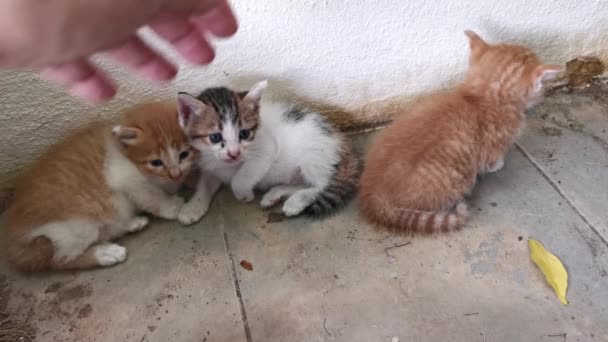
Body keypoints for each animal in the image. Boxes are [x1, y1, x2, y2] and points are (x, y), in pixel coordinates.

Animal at [4, 101, 195, 272]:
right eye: (156, 162)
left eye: (184, 154)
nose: (176, 174)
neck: (123, 153)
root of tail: (14, 244)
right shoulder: (126, 178)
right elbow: (151, 195)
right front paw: (172, 206)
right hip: (74, 227)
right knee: (60, 260)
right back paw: (105, 253)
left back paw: (131, 223)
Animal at [175, 80, 360, 224]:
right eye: (215, 137)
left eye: (244, 133)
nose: (234, 153)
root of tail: (342, 142)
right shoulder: (211, 166)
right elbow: (204, 185)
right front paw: (192, 208)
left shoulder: (266, 148)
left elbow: (240, 178)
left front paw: (243, 194)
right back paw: (275, 194)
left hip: (314, 152)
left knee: (322, 184)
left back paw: (296, 202)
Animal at [358, 30, 564, 234]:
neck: (481, 97)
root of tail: (373, 194)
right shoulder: (493, 146)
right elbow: (491, 161)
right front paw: (498, 164)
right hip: (457, 182)